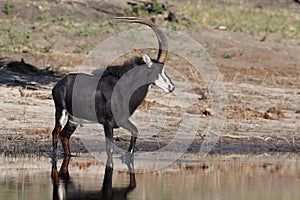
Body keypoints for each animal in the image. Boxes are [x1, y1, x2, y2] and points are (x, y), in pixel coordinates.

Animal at [50, 16, 175, 164]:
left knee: (64, 135)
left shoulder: (122, 121)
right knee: (56, 132)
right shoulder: (108, 123)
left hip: (74, 119)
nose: (171, 87)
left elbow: (135, 132)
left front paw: (127, 156)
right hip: (61, 111)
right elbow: (110, 150)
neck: (123, 88)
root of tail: (60, 83)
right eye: (158, 70)